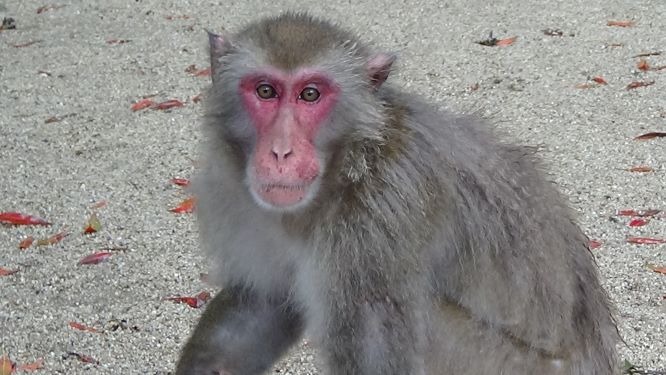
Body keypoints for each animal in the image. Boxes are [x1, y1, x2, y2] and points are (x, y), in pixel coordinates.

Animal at [175, 11, 616, 375]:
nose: (280, 151)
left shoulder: (375, 228)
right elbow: (264, 300)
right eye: (265, 91)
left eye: (310, 94)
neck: (348, 165)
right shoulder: (238, 201)